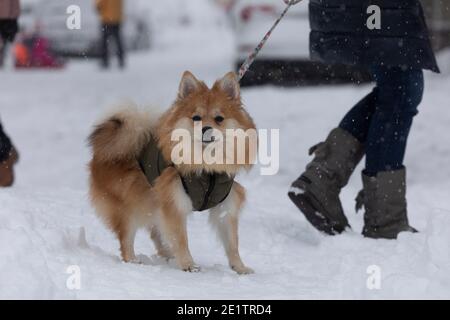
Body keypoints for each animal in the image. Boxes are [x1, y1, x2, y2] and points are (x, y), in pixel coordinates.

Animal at [88, 71, 256, 274]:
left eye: (219, 119)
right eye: (196, 118)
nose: (206, 129)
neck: (206, 168)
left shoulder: (225, 205)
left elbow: (232, 243)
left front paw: (239, 267)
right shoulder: (175, 201)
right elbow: (181, 239)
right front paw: (188, 265)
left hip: (152, 199)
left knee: (156, 232)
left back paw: (167, 254)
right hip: (130, 204)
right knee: (126, 238)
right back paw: (134, 261)